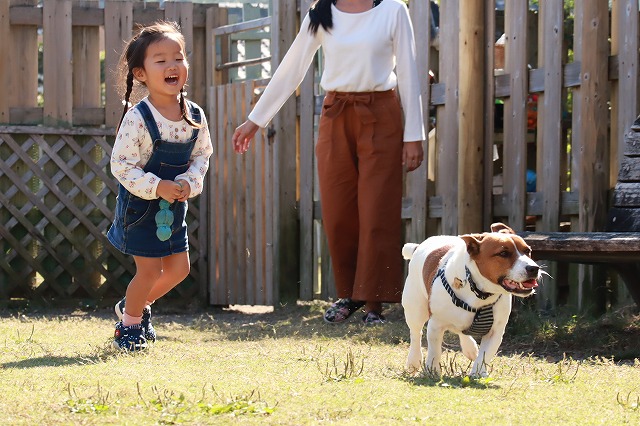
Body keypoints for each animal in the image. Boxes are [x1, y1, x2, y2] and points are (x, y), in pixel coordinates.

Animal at [401, 223, 541, 377]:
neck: (481, 293)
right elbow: (434, 351)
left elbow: (485, 354)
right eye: (503, 253)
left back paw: (470, 348)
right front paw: (432, 370)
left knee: (460, 330)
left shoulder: (495, 331)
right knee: (415, 333)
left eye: (527, 251)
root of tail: (418, 247)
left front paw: (478, 373)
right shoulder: (436, 325)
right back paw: (413, 361)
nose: (534, 268)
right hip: (416, 309)